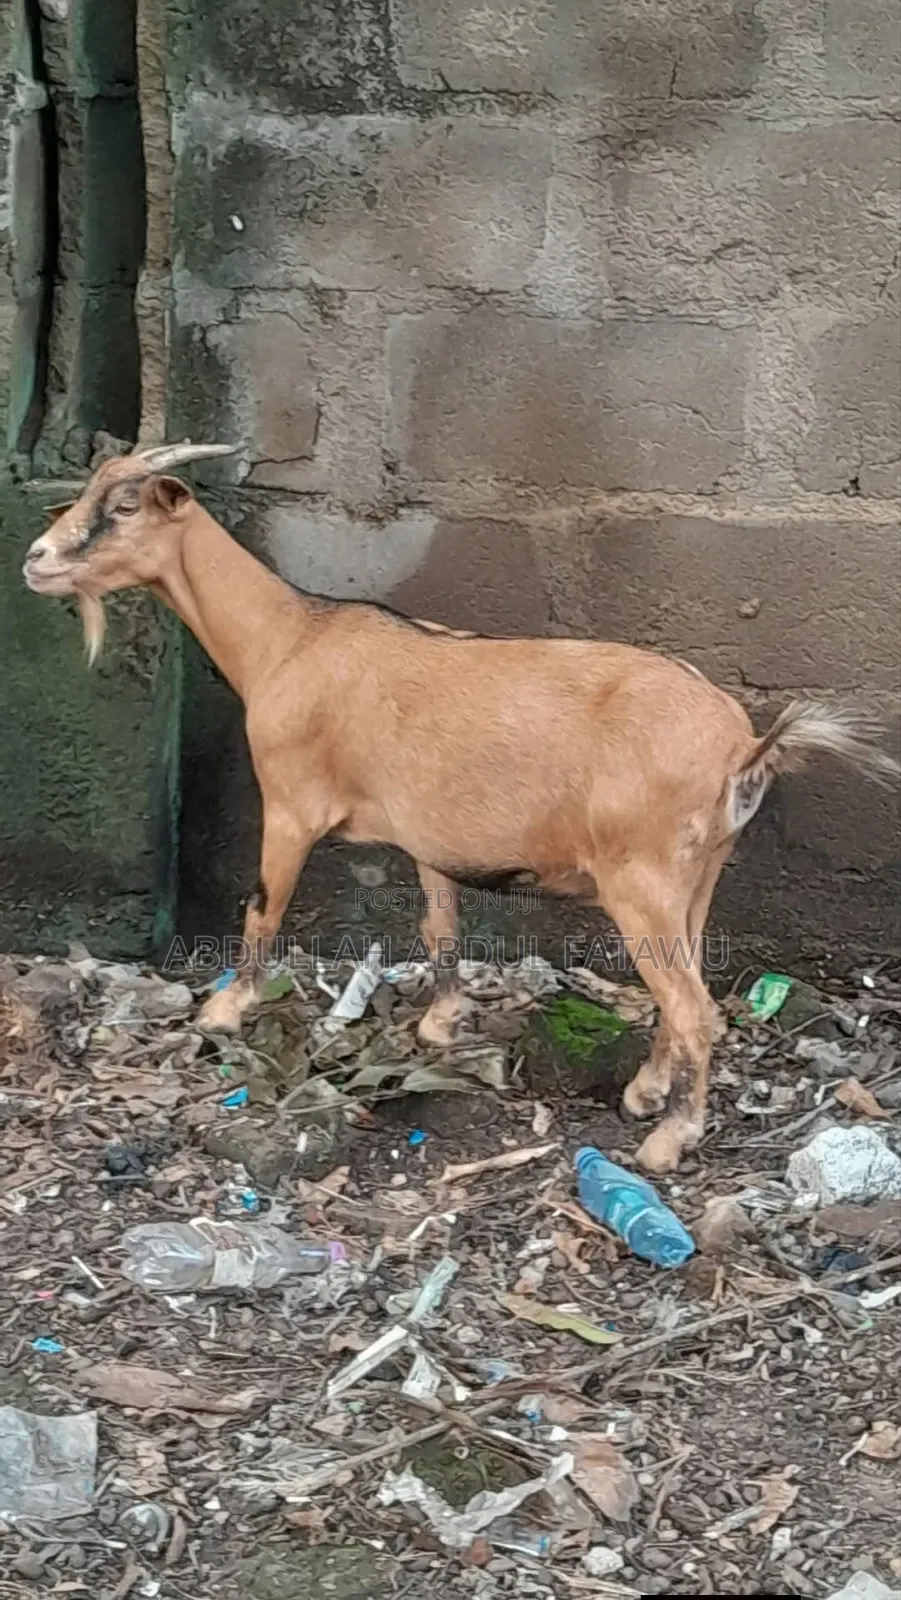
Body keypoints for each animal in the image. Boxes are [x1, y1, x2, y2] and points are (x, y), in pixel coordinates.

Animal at [22, 442, 900, 1172]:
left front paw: (223, 1011)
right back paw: (647, 1091)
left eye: (124, 506)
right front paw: (440, 1024)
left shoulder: (292, 801)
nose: (35, 559)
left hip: (640, 876)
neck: (288, 639)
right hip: (698, 872)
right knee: (684, 989)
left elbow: (263, 907)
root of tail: (741, 746)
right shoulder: (427, 836)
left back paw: (667, 1139)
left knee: (694, 1009)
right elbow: (439, 927)